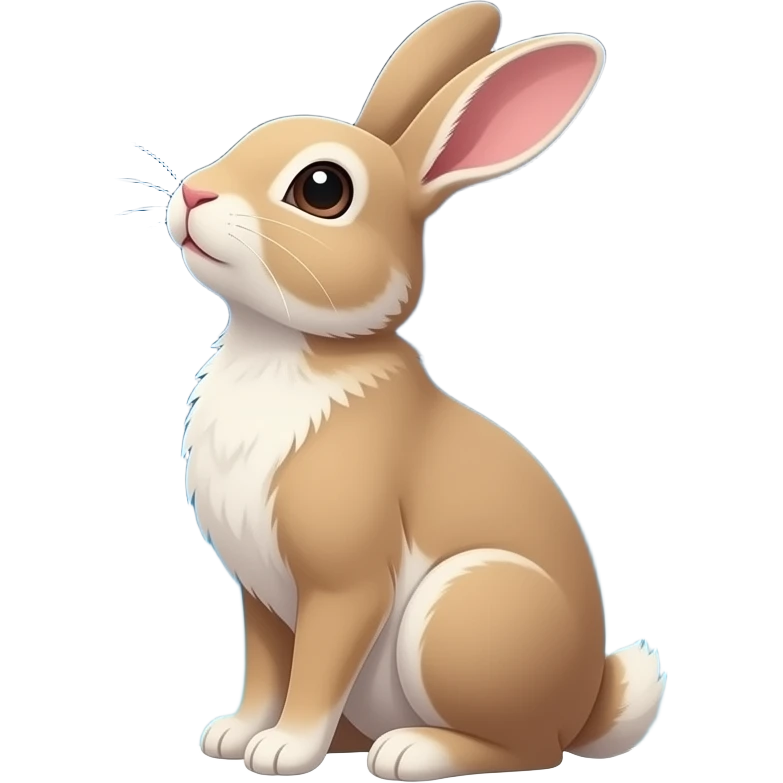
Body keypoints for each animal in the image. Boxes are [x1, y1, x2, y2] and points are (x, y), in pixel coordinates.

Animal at [163, 3, 663, 779]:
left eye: (321, 189)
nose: (192, 193)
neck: (283, 349)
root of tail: (587, 705)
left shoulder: (344, 584)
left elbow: (314, 672)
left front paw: (282, 750)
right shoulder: (261, 595)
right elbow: (268, 669)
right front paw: (232, 737)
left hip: (464, 614)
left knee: (527, 747)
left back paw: (412, 751)